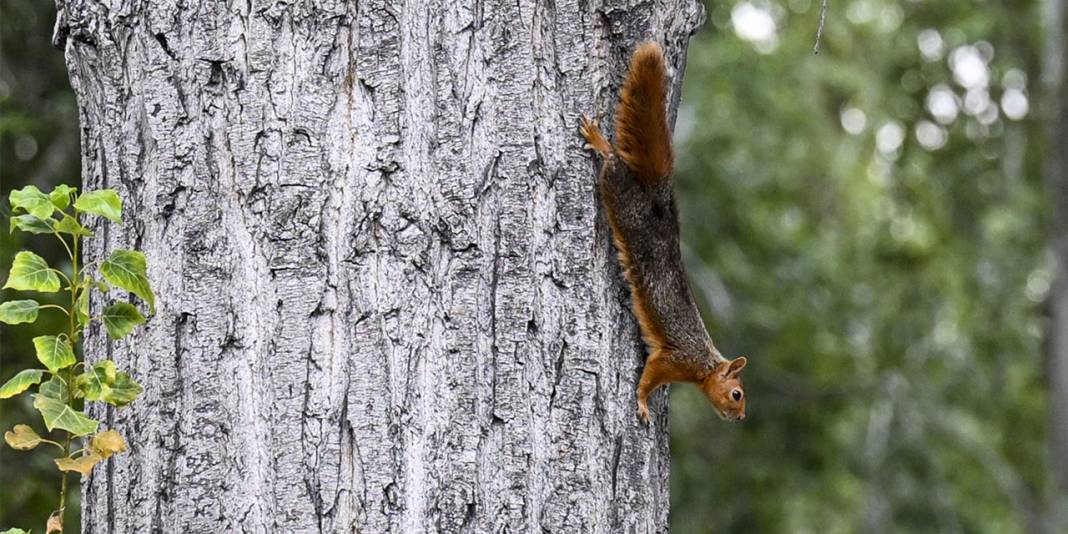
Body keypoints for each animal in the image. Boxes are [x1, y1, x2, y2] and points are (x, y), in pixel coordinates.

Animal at [580, 41, 747, 422]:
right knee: (612, 163)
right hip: (621, 200)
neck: (704, 363)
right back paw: (599, 142)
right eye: (736, 394)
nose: (741, 417)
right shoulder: (672, 359)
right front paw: (642, 403)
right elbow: (649, 377)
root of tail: (658, 199)